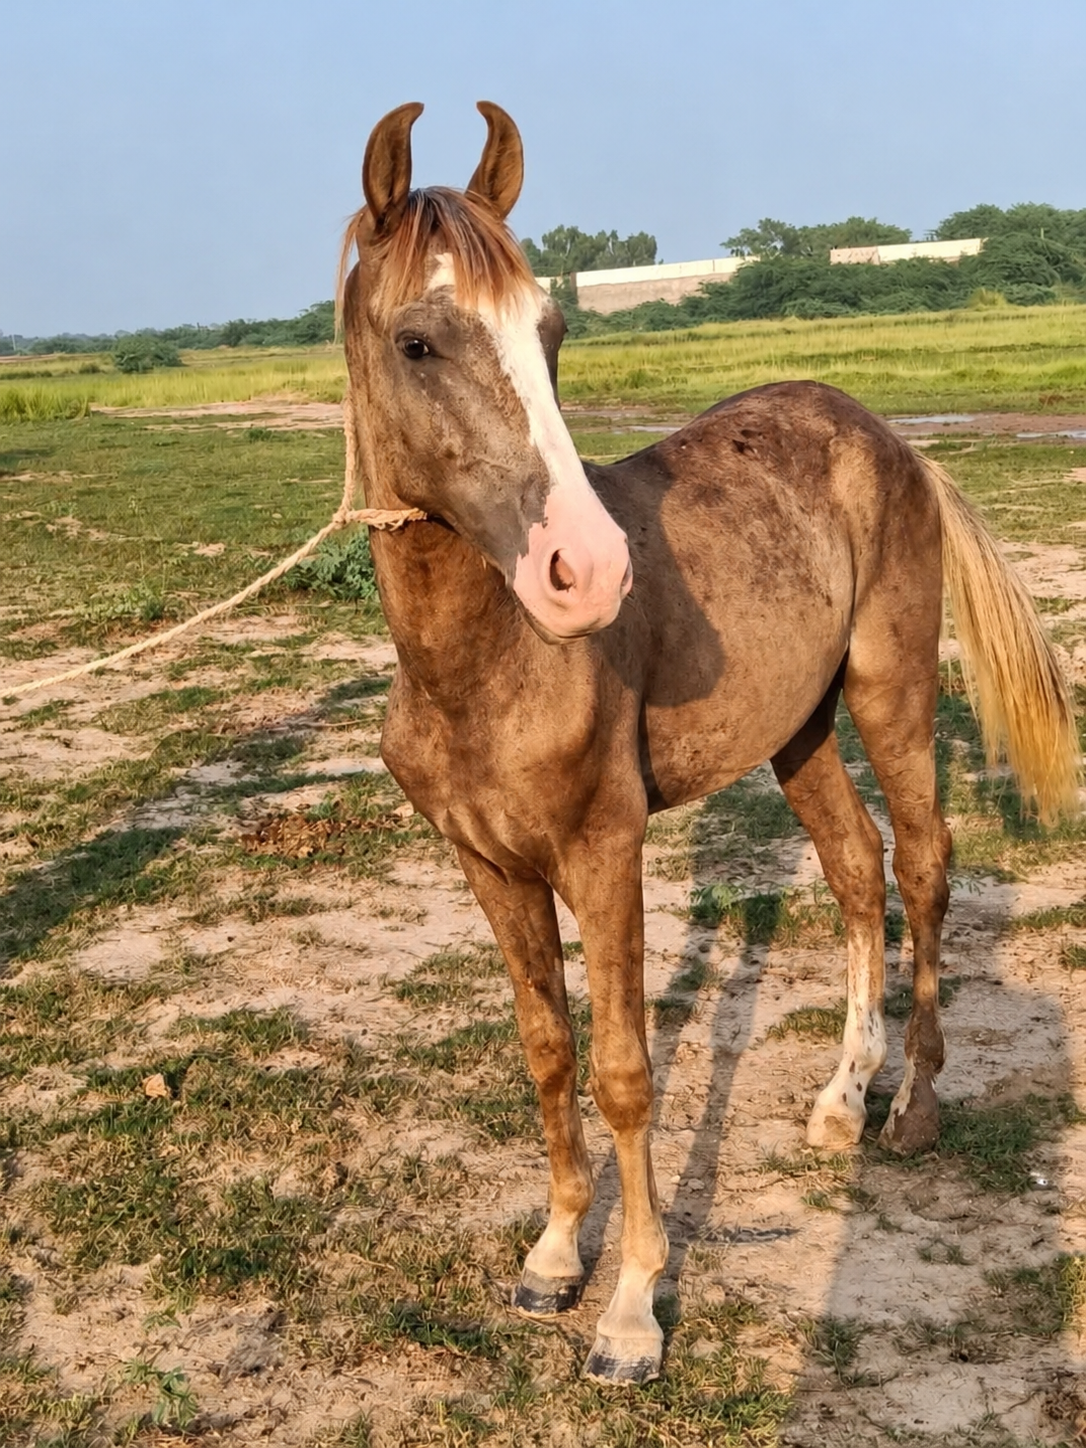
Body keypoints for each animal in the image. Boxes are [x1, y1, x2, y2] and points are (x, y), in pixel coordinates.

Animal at [338, 100, 1079, 1385]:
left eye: (552, 328)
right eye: (419, 342)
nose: (587, 572)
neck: (483, 663)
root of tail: (893, 442)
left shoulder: (604, 849)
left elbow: (627, 1071)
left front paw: (633, 1309)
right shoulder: (488, 864)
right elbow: (547, 1048)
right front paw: (552, 1255)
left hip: (887, 692)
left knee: (926, 864)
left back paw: (912, 1107)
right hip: (799, 730)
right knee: (855, 867)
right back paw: (840, 1097)